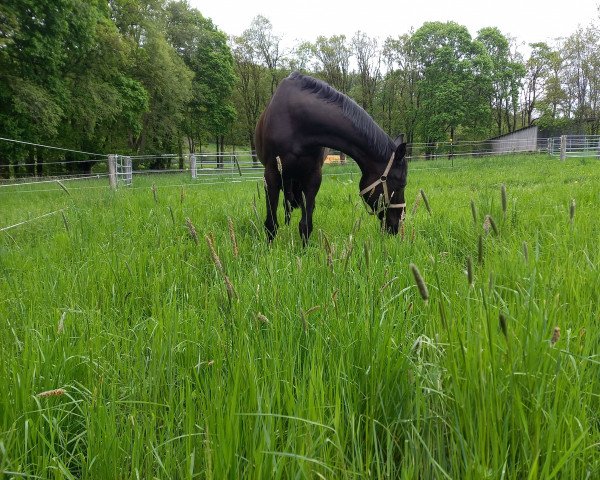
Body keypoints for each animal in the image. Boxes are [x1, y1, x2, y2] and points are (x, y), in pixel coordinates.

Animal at [253, 70, 408, 244]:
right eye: (401, 185)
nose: (399, 222)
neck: (296, 120)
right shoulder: (271, 174)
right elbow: (271, 223)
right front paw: (270, 247)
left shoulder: (313, 177)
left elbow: (306, 224)